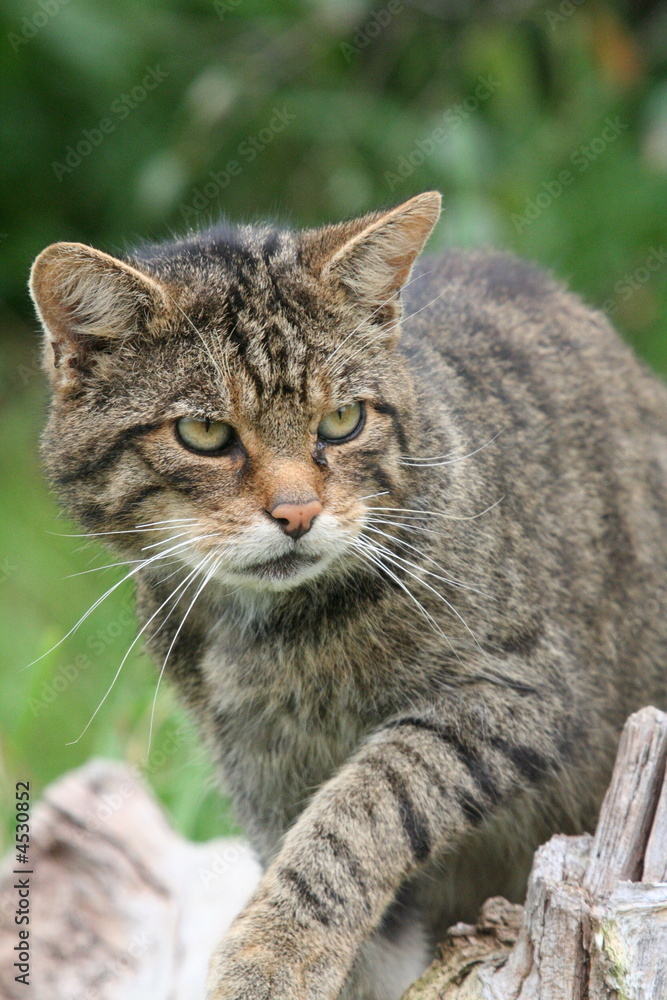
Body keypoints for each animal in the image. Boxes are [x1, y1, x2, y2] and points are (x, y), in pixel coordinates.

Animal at [32, 193, 667, 1000]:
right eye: (203, 432)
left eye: (342, 421)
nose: (298, 513)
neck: (275, 639)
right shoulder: (257, 765)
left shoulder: (519, 691)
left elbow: (359, 811)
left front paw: (272, 953)